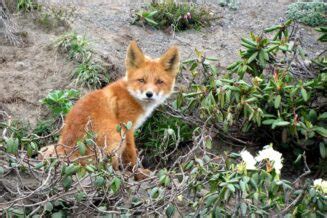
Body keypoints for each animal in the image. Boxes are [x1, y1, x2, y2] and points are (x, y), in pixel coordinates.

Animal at [39, 41, 181, 179]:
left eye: (159, 82)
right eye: (141, 80)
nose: (149, 94)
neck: (130, 94)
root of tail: (68, 150)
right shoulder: (126, 127)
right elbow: (131, 155)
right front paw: (137, 173)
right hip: (116, 136)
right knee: (103, 166)